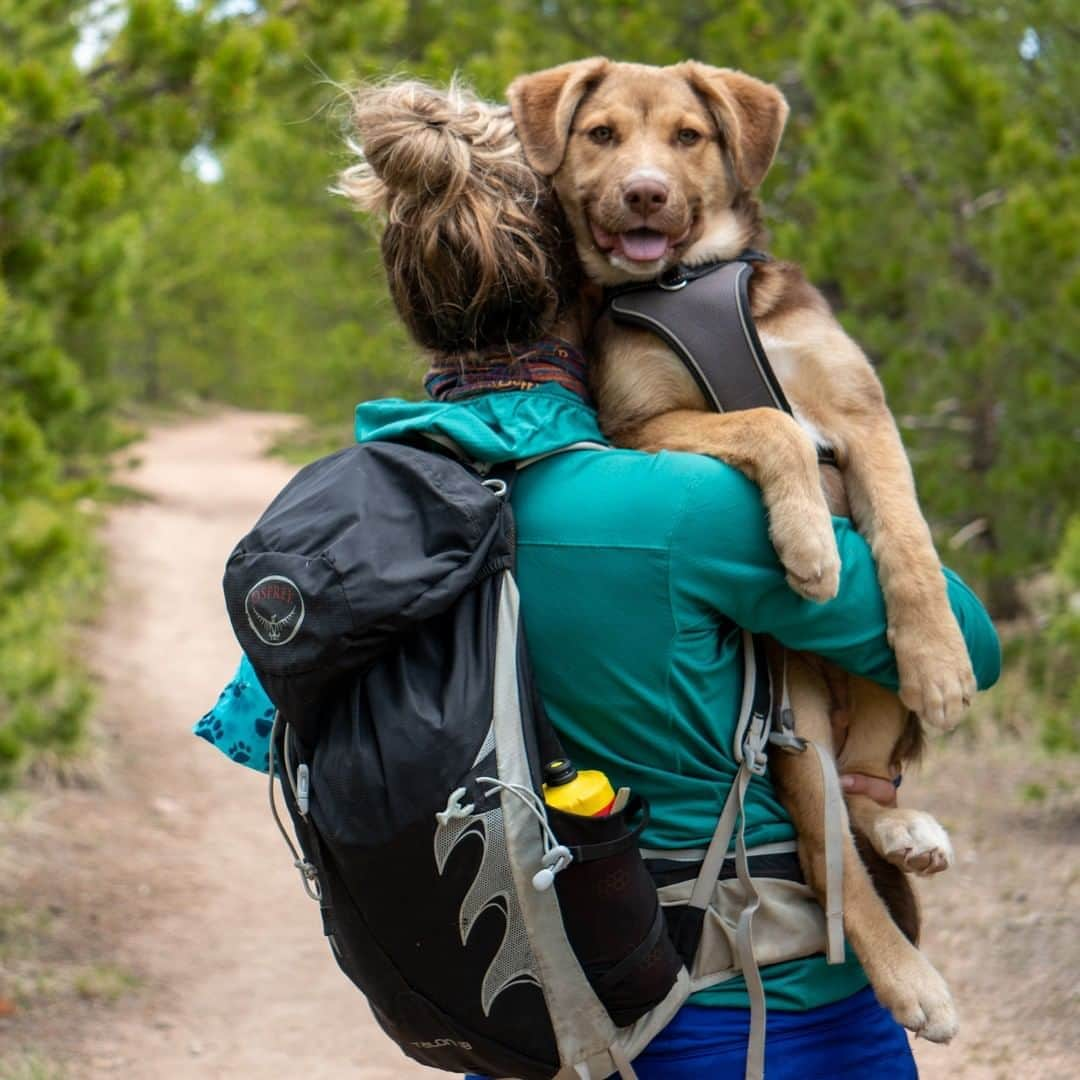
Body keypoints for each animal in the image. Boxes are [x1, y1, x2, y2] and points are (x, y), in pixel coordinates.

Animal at [509, 56, 976, 1036]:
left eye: (689, 137)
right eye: (601, 134)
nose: (645, 194)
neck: (689, 285)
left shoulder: (863, 415)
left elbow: (908, 538)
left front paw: (943, 658)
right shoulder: (642, 426)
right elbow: (770, 421)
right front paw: (810, 548)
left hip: (865, 706)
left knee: (868, 794)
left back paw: (908, 830)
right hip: (790, 733)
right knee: (834, 864)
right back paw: (912, 982)